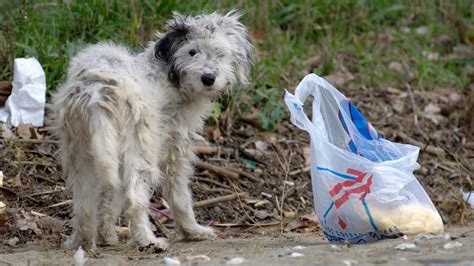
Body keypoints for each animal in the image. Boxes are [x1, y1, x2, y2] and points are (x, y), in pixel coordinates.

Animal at [50, 10, 254, 251]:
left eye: (220, 53)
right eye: (192, 51)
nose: (208, 78)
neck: (170, 75)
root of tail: (96, 92)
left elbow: (109, 197)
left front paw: (105, 234)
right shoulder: (176, 151)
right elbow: (179, 196)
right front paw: (192, 231)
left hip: (83, 152)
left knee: (84, 203)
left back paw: (81, 240)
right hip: (140, 150)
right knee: (134, 199)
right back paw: (148, 239)